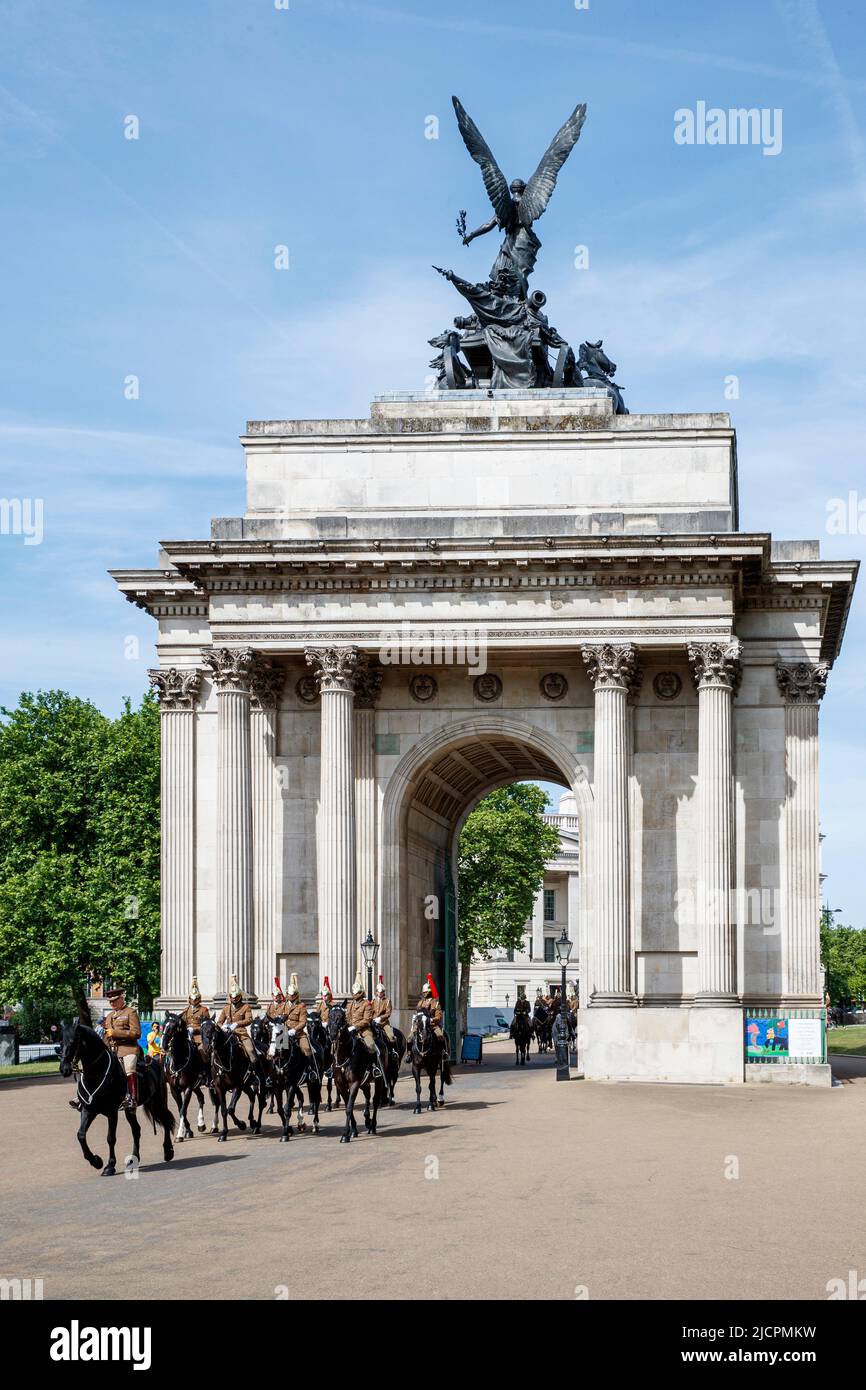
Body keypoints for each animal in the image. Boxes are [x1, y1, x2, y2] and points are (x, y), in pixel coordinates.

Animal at [60, 1017, 175, 1178]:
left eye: (72, 1042)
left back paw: (168, 1151)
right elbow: (81, 1135)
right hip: (131, 1109)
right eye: (60, 1043)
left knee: (165, 1122)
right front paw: (96, 1161)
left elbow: (110, 1138)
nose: (64, 1069)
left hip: (157, 1103)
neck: (96, 1074)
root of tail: (156, 1062)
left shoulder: (111, 1112)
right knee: (136, 1130)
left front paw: (109, 1166)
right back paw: (134, 1159)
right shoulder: (88, 1110)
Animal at [161, 1011, 211, 1139]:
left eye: (174, 1026)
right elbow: (180, 1108)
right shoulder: (174, 1089)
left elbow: (183, 1109)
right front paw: (187, 1130)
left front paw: (180, 1134)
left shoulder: (188, 1087)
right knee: (201, 1097)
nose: (163, 1044)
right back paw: (201, 1124)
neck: (179, 1059)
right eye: (164, 1024)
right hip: (196, 1086)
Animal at [202, 1011, 264, 1139]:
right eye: (201, 1029)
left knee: (261, 1103)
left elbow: (230, 1109)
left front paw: (241, 1124)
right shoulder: (219, 1088)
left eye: (212, 1029)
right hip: (246, 1085)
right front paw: (224, 1133)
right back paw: (252, 1122)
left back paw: (256, 1126)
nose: (206, 1048)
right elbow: (224, 1110)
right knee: (252, 1096)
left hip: (261, 1083)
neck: (224, 1058)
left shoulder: (237, 1086)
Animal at [328, 1006, 386, 1145]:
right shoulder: (341, 1085)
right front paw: (353, 1130)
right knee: (367, 1095)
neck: (345, 1054)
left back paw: (373, 1126)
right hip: (364, 1082)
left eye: (341, 1017)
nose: (333, 1034)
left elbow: (349, 1107)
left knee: (375, 1100)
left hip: (379, 1080)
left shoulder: (354, 1083)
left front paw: (345, 1135)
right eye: (329, 1016)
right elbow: (348, 1106)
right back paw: (367, 1119)